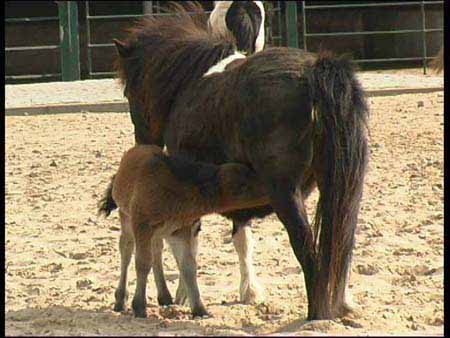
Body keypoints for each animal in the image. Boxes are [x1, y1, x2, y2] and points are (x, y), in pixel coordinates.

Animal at [112, 1, 370, 320]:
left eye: (128, 91)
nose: (141, 144)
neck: (191, 80)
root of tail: (315, 73)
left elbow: (187, 244)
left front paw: (185, 294)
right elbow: (237, 238)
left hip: (286, 194)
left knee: (308, 248)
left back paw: (317, 313)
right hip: (342, 186)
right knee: (340, 238)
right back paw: (342, 301)